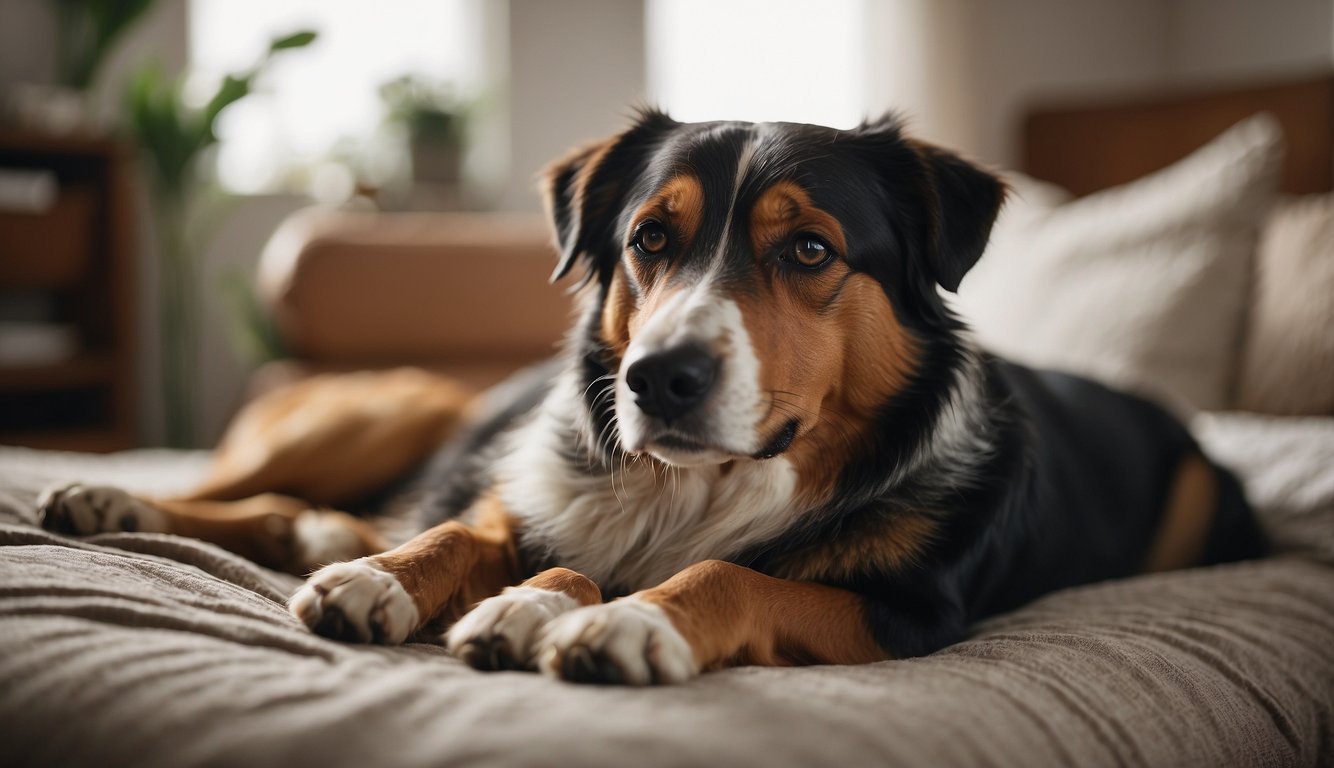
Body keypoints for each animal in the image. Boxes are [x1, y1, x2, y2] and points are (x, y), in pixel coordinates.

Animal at [33, 109, 1259, 682]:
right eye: (648, 240)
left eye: (811, 249)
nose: (654, 377)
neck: (698, 487)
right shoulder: (523, 495)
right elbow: (463, 536)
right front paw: (388, 580)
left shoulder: (907, 613)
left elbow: (726, 574)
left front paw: (616, 621)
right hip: (389, 409)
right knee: (258, 490)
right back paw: (117, 503)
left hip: (1207, 489)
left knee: (292, 511)